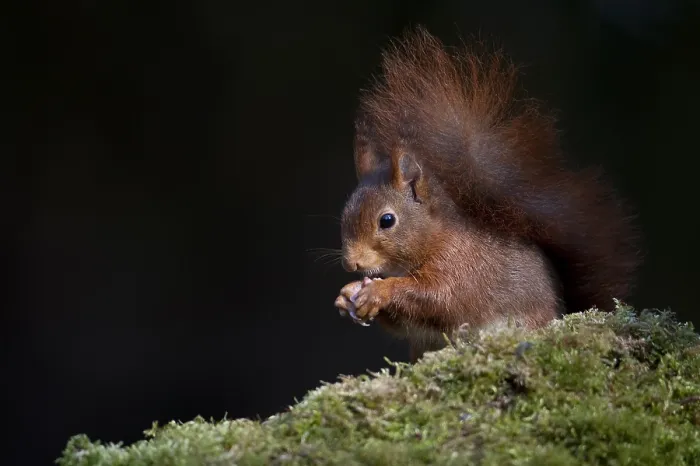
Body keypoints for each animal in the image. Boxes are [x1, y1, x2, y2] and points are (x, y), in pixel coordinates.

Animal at [333, 27, 641, 362]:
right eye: (344, 214)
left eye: (387, 220)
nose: (351, 264)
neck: (436, 238)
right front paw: (348, 294)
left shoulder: (459, 269)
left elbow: (436, 298)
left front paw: (379, 290)